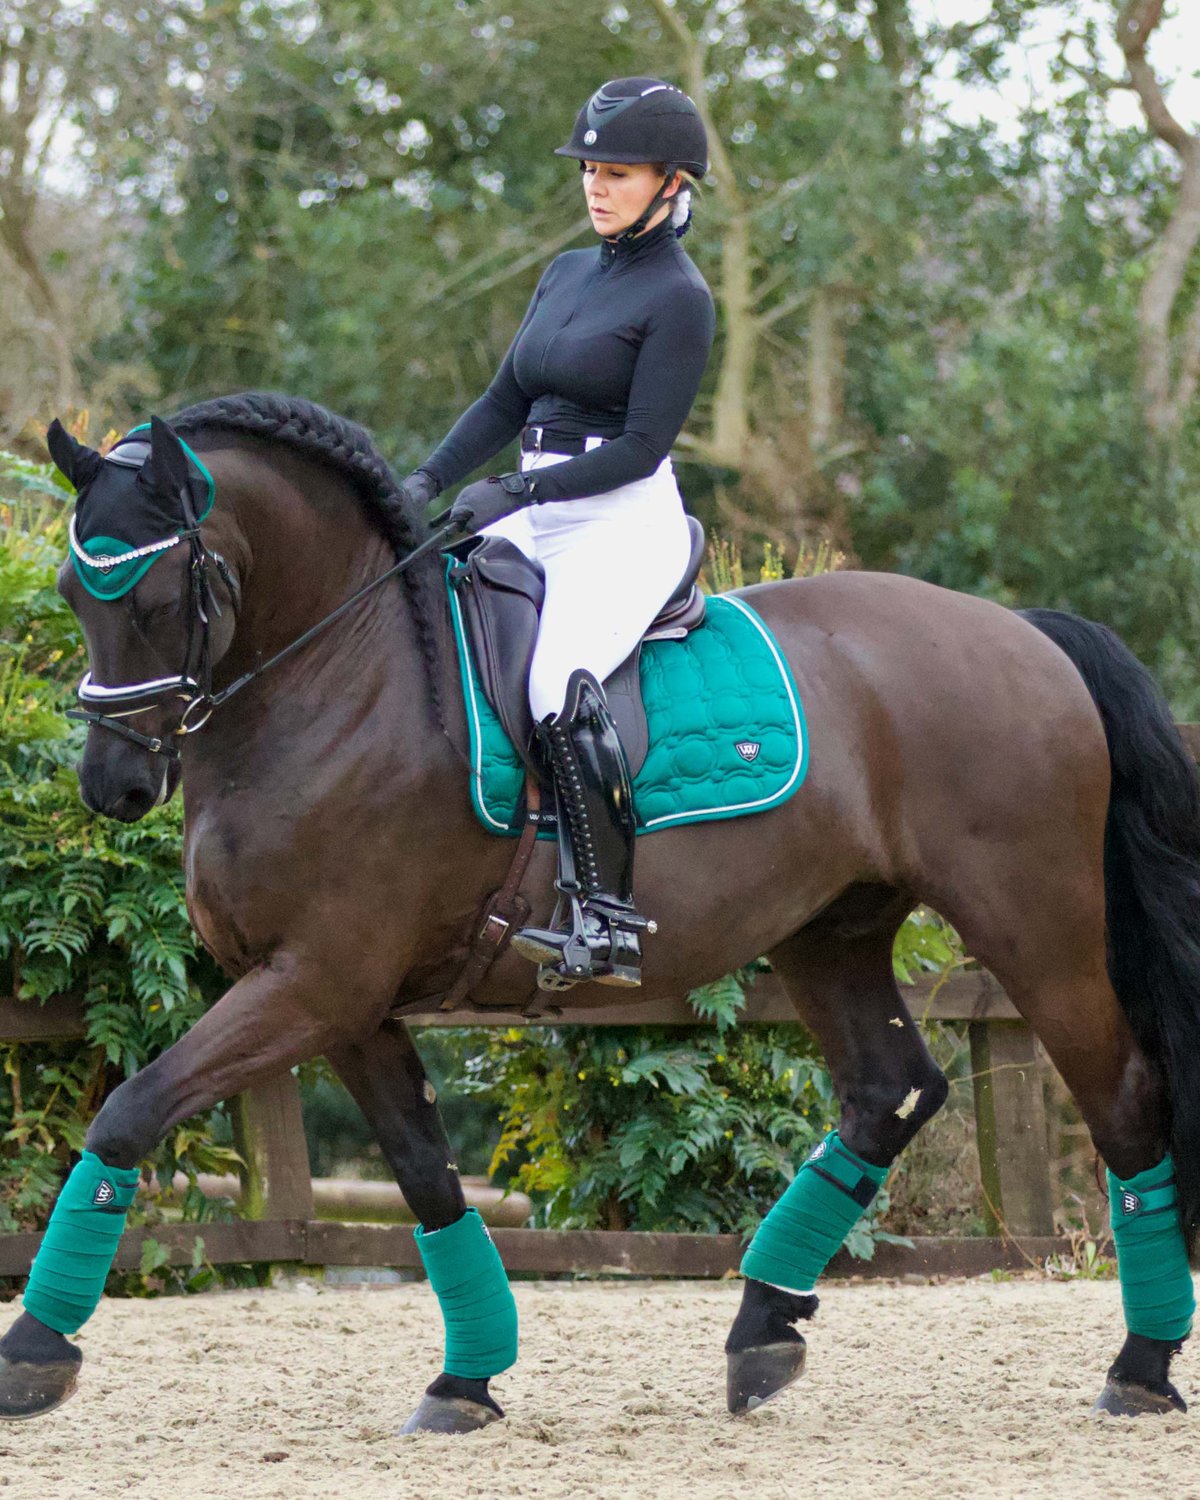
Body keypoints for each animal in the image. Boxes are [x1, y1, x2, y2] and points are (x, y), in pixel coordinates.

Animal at [2, 392, 1198, 1433]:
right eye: (70, 590)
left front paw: (35, 1351)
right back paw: (763, 1332)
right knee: (891, 1091)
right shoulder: (347, 1004)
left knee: (1124, 1097)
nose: (114, 787)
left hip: (1035, 928)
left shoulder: (313, 981)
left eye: (158, 599)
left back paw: (1139, 1368)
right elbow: (428, 1179)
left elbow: (129, 1112)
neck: (340, 680)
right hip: (831, 932)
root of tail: (1024, 633)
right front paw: (466, 1381)